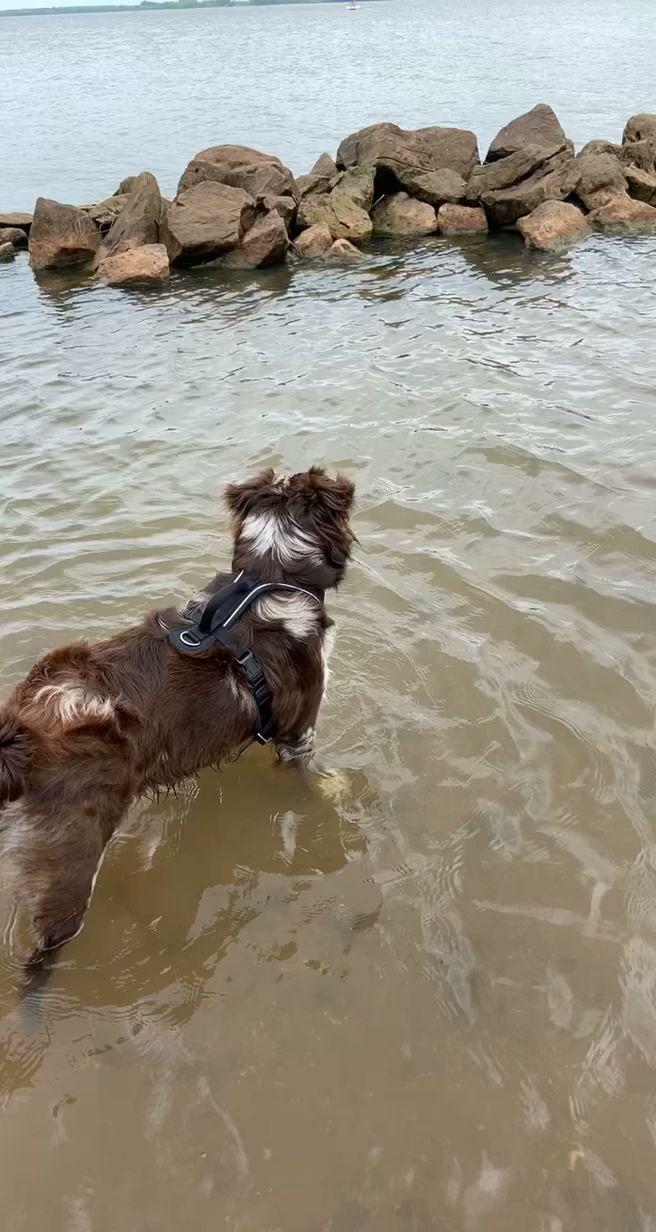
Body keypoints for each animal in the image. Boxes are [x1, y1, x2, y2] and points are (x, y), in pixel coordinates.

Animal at [0, 468, 355, 970]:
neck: (270, 578)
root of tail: (19, 738)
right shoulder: (299, 729)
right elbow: (310, 773)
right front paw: (333, 789)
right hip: (68, 863)